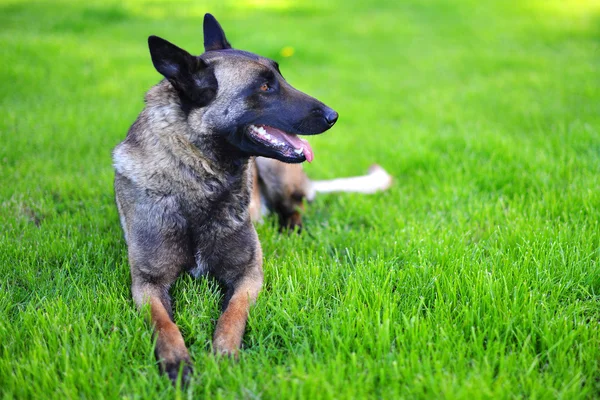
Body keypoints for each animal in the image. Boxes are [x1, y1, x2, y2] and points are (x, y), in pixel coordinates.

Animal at [111, 14, 338, 382]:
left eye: (279, 77)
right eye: (264, 87)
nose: (334, 116)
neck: (199, 181)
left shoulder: (248, 274)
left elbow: (233, 314)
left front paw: (224, 354)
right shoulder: (147, 283)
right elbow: (163, 323)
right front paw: (176, 360)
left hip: (276, 172)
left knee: (295, 206)